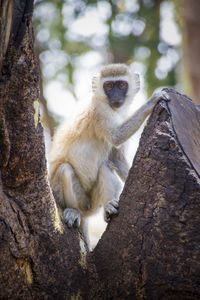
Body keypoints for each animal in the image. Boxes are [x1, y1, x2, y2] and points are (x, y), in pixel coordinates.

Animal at [48, 62, 169, 248]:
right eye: (109, 86)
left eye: (121, 85)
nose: (116, 96)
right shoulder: (100, 110)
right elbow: (116, 136)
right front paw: (153, 99)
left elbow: (115, 159)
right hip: (76, 199)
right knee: (65, 170)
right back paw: (74, 211)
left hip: (93, 202)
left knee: (105, 165)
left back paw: (108, 206)